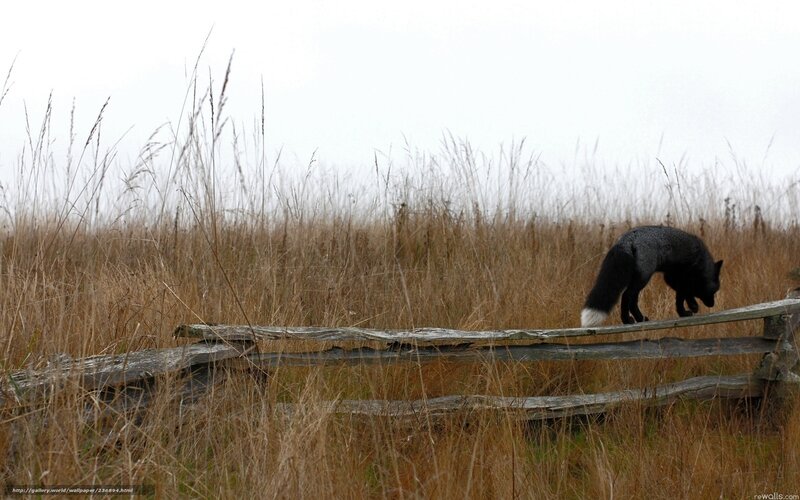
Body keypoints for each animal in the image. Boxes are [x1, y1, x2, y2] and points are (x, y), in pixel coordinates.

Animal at [580, 226, 723, 327]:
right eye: (714, 291)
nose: (712, 304)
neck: (701, 262)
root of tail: (627, 238)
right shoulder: (681, 278)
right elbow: (684, 294)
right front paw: (690, 308)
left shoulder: (672, 278)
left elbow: (681, 296)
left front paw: (685, 311)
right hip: (643, 278)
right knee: (626, 296)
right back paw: (627, 320)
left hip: (638, 279)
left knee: (632, 300)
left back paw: (640, 318)